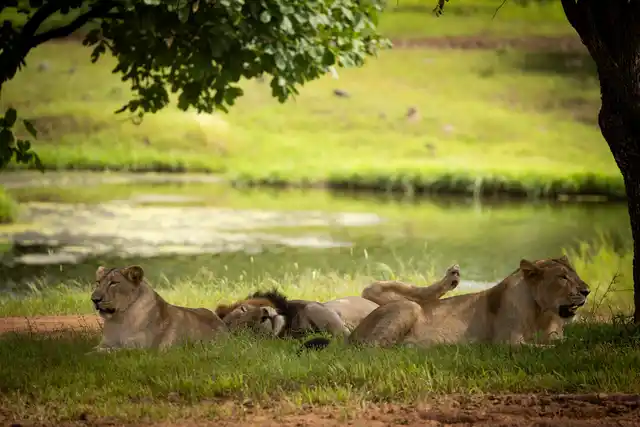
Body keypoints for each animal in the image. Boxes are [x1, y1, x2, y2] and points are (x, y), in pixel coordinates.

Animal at [90, 265, 227, 352]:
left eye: (113, 283)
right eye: (98, 282)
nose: (94, 299)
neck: (119, 319)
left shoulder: (139, 349)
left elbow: (105, 353)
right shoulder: (106, 343)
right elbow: (94, 351)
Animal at [215, 264, 461, 339]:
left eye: (245, 309)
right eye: (246, 327)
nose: (265, 315)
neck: (289, 323)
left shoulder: (311, 305)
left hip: (371, 289)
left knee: (422, 294)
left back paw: (451, 278)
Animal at [301, 255, 589, 351]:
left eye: (575, 274)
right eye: (563, 277)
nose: (586, 290)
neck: (543, 313)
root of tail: (353, 334)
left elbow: (561, 342)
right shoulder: (506, 342)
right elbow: (543, 347)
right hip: (407, 308)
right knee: (371, 349)